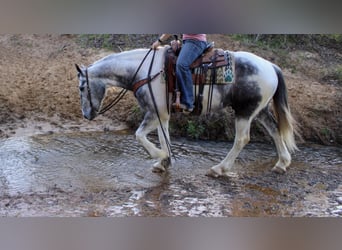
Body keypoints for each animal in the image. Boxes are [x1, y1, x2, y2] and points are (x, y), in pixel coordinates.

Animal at [75, 45, 300, 178]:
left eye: (81, 87)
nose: (86, 115)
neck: (144, 71)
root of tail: (271, 66)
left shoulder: (153, 113)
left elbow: (139, 135)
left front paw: (161, 155)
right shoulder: (162, 114)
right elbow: (163, 136)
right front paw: (163, 162)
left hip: (245, 112)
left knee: (242, 139)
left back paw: (219, 168)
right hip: (259, 110)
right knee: (274, 130)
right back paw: (282, 163)